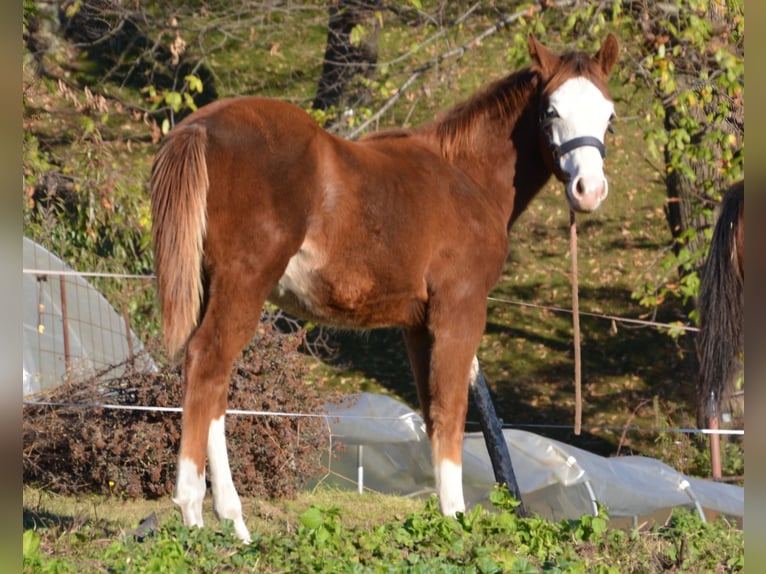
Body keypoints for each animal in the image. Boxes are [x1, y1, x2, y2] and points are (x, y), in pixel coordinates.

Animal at [152, 33, 624, 544]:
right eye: (551, 110)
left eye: (609, 115)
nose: (589, 190)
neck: (464, 175)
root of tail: (201, 127)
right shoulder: (460, 310)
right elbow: (452, 411)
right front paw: (455, 521)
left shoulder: (416, 325)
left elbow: (433, 413)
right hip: (244, 284)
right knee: (207, 365)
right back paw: (194, 512)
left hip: (212, 288)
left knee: (211, 387)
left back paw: (232, 522)